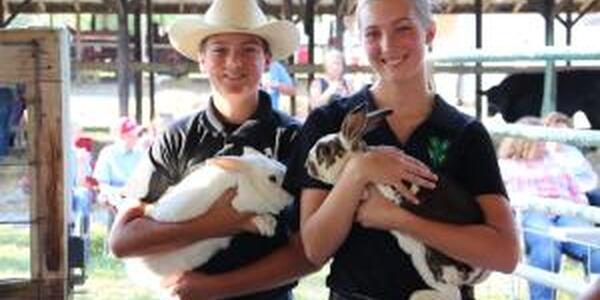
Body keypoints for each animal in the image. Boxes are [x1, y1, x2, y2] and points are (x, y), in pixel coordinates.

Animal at [125, 146, 294, 292]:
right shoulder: (239, 206)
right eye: (272, 179)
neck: (247, 182)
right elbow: (254, 216)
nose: (292, 194)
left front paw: (271, 222)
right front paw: (267, 226)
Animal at [304, 103, 488, 300]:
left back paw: (418, 295)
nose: (306, 165)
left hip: (432, 263)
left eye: (324, 151)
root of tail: (477, 271)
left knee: (452, 293)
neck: (355, 159)